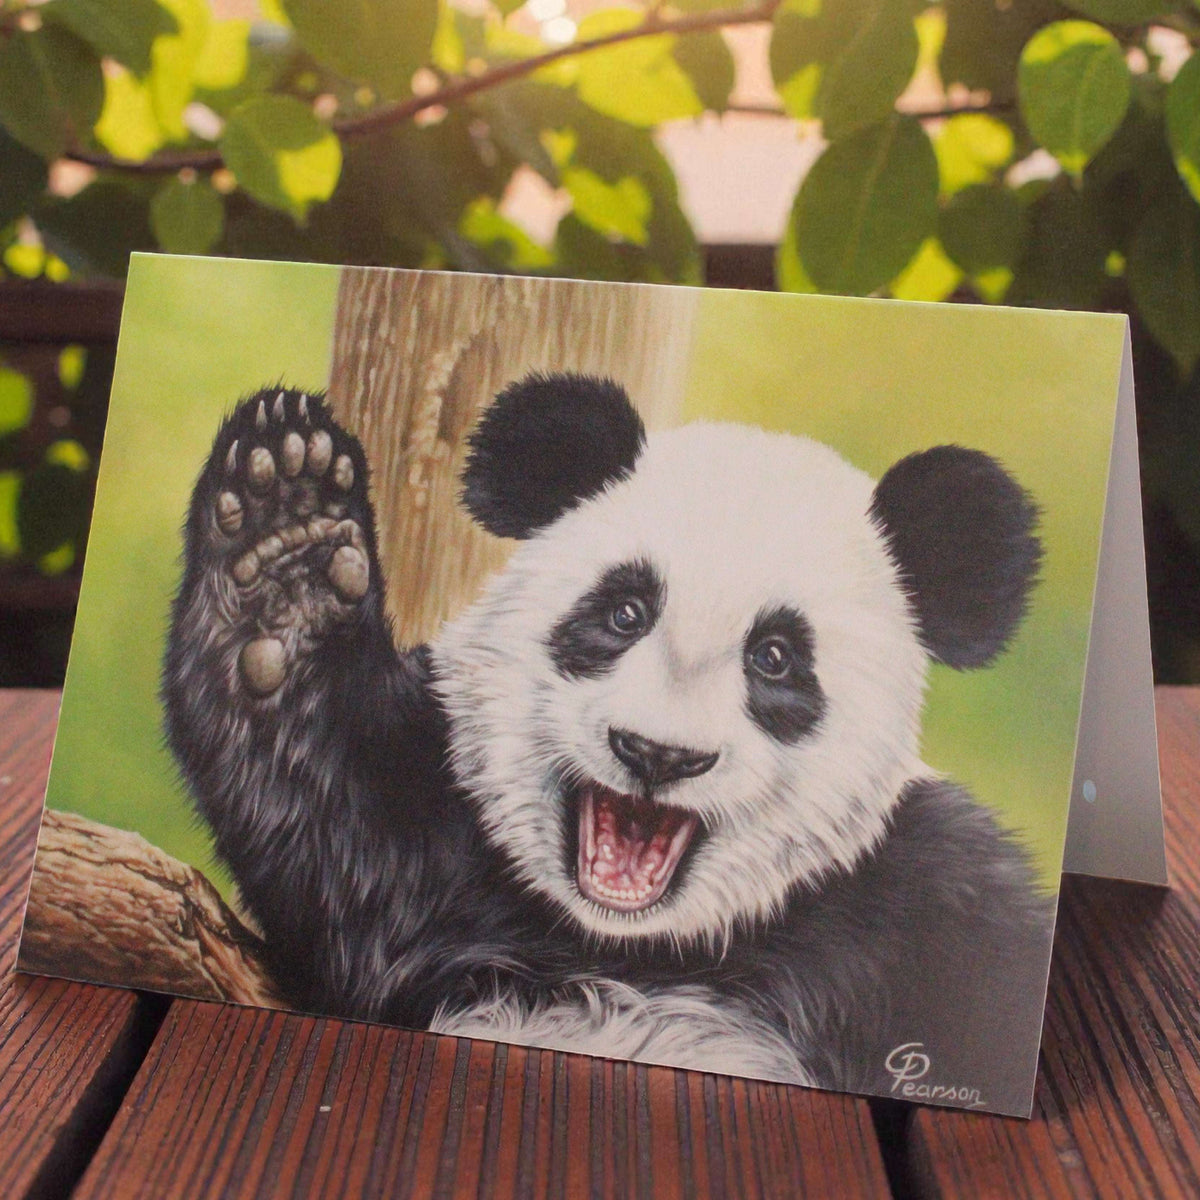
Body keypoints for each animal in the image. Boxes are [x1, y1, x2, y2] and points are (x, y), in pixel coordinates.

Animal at [163, 372, 1054, 1114]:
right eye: (625, 612)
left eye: (774, 657)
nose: (658, 755)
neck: (637, 946)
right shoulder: (436, 846)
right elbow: (332, 827)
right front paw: (287, 543)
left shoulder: (923, 902)